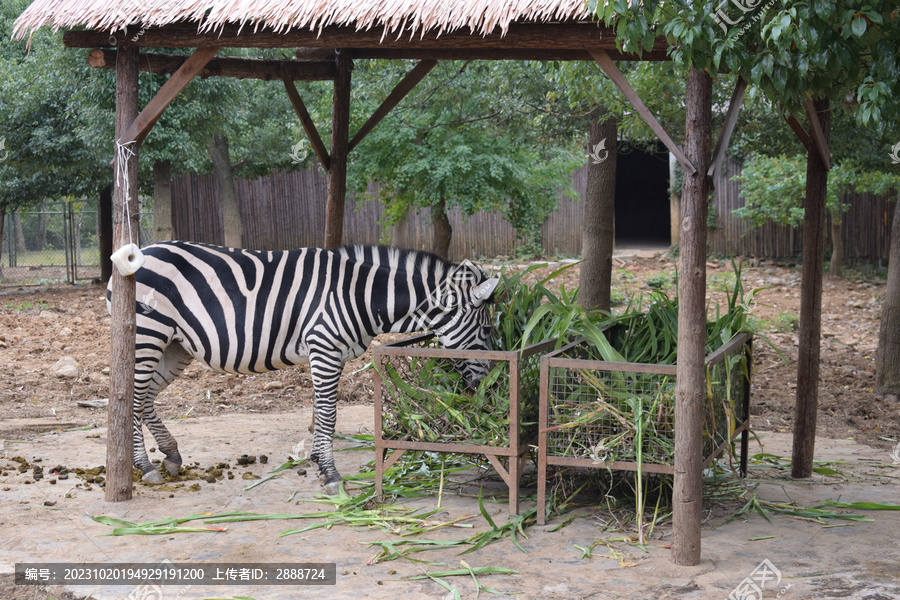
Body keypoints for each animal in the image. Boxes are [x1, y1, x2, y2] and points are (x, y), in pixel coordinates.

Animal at [107, 241, 500, 494]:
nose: (490, 388)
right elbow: (328, 413)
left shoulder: (324, 354)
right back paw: (145, 467)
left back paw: (171, 455)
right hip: (147, 335)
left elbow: (320, 411)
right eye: (486, 330)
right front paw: (330, 474)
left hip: (176, 346)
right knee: (132, 401)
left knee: (145, 399)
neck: (361, 296)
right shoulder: (324, 348)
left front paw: (318, 463)